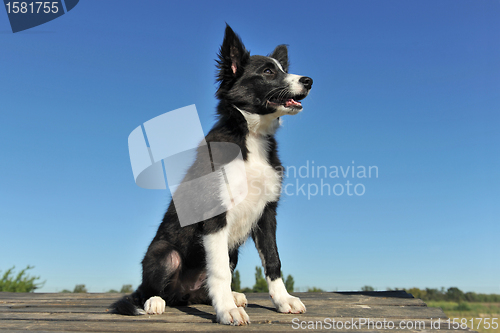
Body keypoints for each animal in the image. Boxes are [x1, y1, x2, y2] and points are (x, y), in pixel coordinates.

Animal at [113, 25, 312, 324]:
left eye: (281, 69)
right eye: (268, 71)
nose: (309, 81)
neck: (250, 137)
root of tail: (180, 293)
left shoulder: (267, 213)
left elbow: (273, 261)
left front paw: (283, 300)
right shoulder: (215, 215)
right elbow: (219, 272)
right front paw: (227, 310)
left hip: (231, 253)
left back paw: (232, 297)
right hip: (164, 253)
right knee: (149, 288)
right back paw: (155, 301)